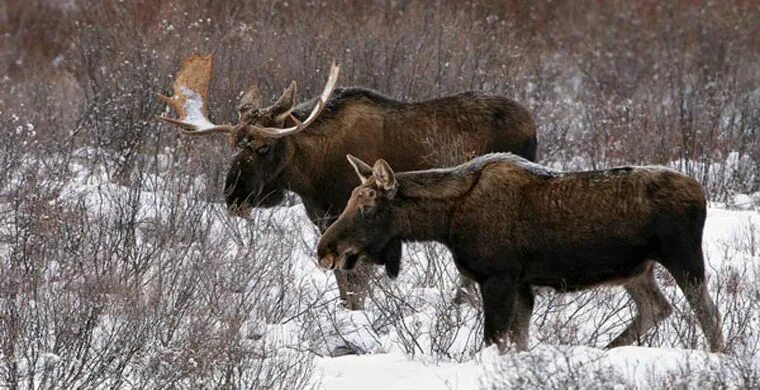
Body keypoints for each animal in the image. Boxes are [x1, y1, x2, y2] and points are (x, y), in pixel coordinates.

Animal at [157, 54, 536, 310]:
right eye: (233, 145)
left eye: (264, 146)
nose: (234, 197)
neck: (309, 176)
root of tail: (532, 124)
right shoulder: (326, 223)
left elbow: (356, 287)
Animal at [318, 154, 728, 352]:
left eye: (366, 207)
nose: (325, 249)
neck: (445, 222)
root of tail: (701, 191)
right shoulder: (522, 284)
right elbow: (518, 340)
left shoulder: (498, 277)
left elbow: (494, 339)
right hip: (636, 269)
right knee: (657, 307)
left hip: (684, 258)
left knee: (708, 314)